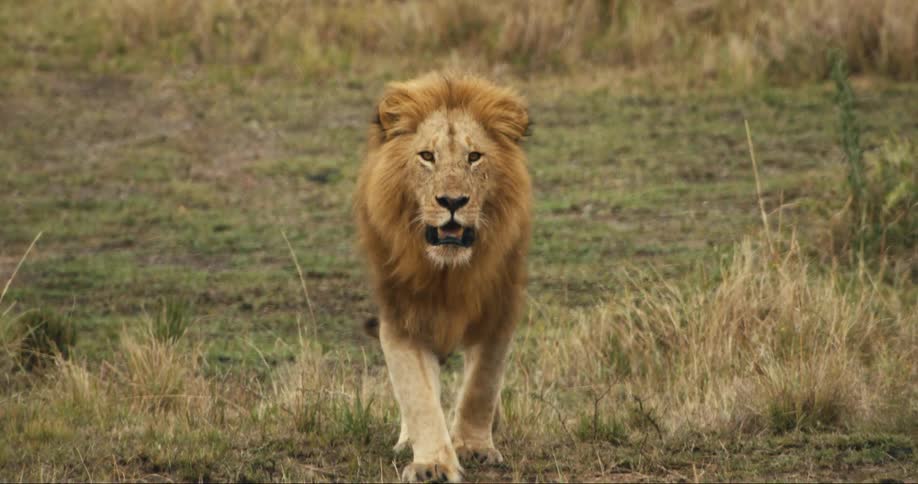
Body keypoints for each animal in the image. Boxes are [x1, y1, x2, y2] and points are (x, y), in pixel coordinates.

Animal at [353, 72, 531, 483]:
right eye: (427, 156)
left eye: (474, 156)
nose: (452, 202)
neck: (449, 273)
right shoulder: (400, 316)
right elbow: (418, 395)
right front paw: (432, 463)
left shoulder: (500, 308)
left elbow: (482, 383)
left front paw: (474, 446)